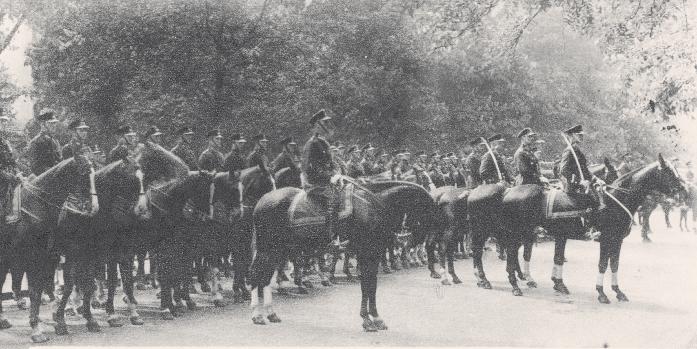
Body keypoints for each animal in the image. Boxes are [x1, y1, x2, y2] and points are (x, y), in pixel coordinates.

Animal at [0, 156, 98, 342]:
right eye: (83, 174)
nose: (94, 208)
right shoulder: (35, 257)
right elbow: (36, 291)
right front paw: (37, 329)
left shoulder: (61, 255)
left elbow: (71, 285)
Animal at [249, 135, 392, 330]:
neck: (369, 205)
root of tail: (261, 201)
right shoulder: (365, 251)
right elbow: (366, 284)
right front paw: (367, 319)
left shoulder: (374, 252)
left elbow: (372, 284)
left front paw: (375, 317)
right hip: (267, 248)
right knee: (257, 275)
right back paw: (257, 315)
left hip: (277, 249)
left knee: (265, 278)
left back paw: (270, 314)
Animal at [468, 154, 680, 300]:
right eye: (669, 173)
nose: (682, 191)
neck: (616, 199)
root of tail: (506, 192)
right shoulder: (606, 239)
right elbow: (603, 264)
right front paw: (601, 293)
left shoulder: (616, 240)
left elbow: (614, 264)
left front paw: (618, 292)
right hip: (499, 232)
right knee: (490, 253)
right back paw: (502, 283)